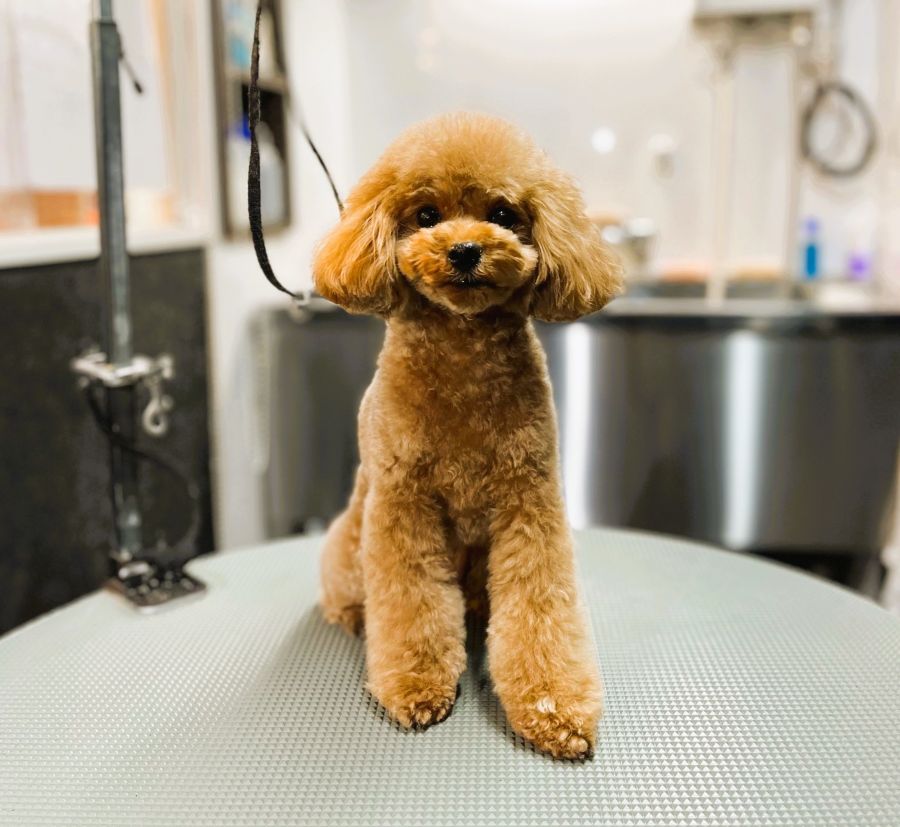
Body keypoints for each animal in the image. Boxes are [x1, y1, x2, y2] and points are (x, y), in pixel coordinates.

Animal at [313, 112, 621, 759]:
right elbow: (411, 601)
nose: (464, 249)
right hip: (349, 539)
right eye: (426, 214)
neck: (463, 353)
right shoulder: (402, 504)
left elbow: (540, 602)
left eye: (502, 213)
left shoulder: (530, 501)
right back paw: (354, 615)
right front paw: (415, 683)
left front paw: (554, 705)